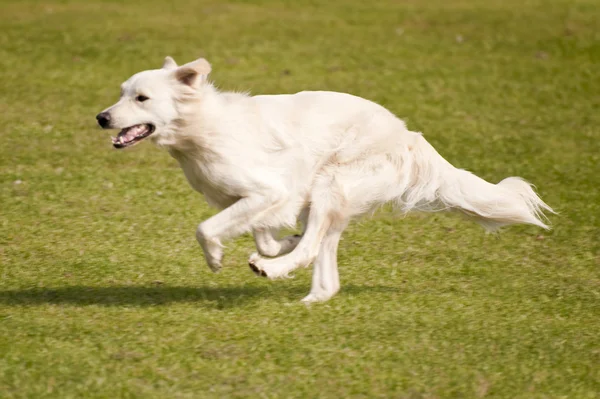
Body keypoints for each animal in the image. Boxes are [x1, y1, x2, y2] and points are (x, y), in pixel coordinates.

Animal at [97, 57, 552, 304]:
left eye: (141, 98)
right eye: (121, 93)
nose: (101, 117)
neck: (201, 129)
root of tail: (408, 135)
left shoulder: (270, 190)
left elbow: (206, 229)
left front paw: (217, 258)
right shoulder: (253, 199)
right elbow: (263, 233)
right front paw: (277, 245)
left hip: (331, 184)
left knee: (314, 246)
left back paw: (275, 271)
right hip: (328, 197)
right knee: (324, 256)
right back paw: (313, 293)